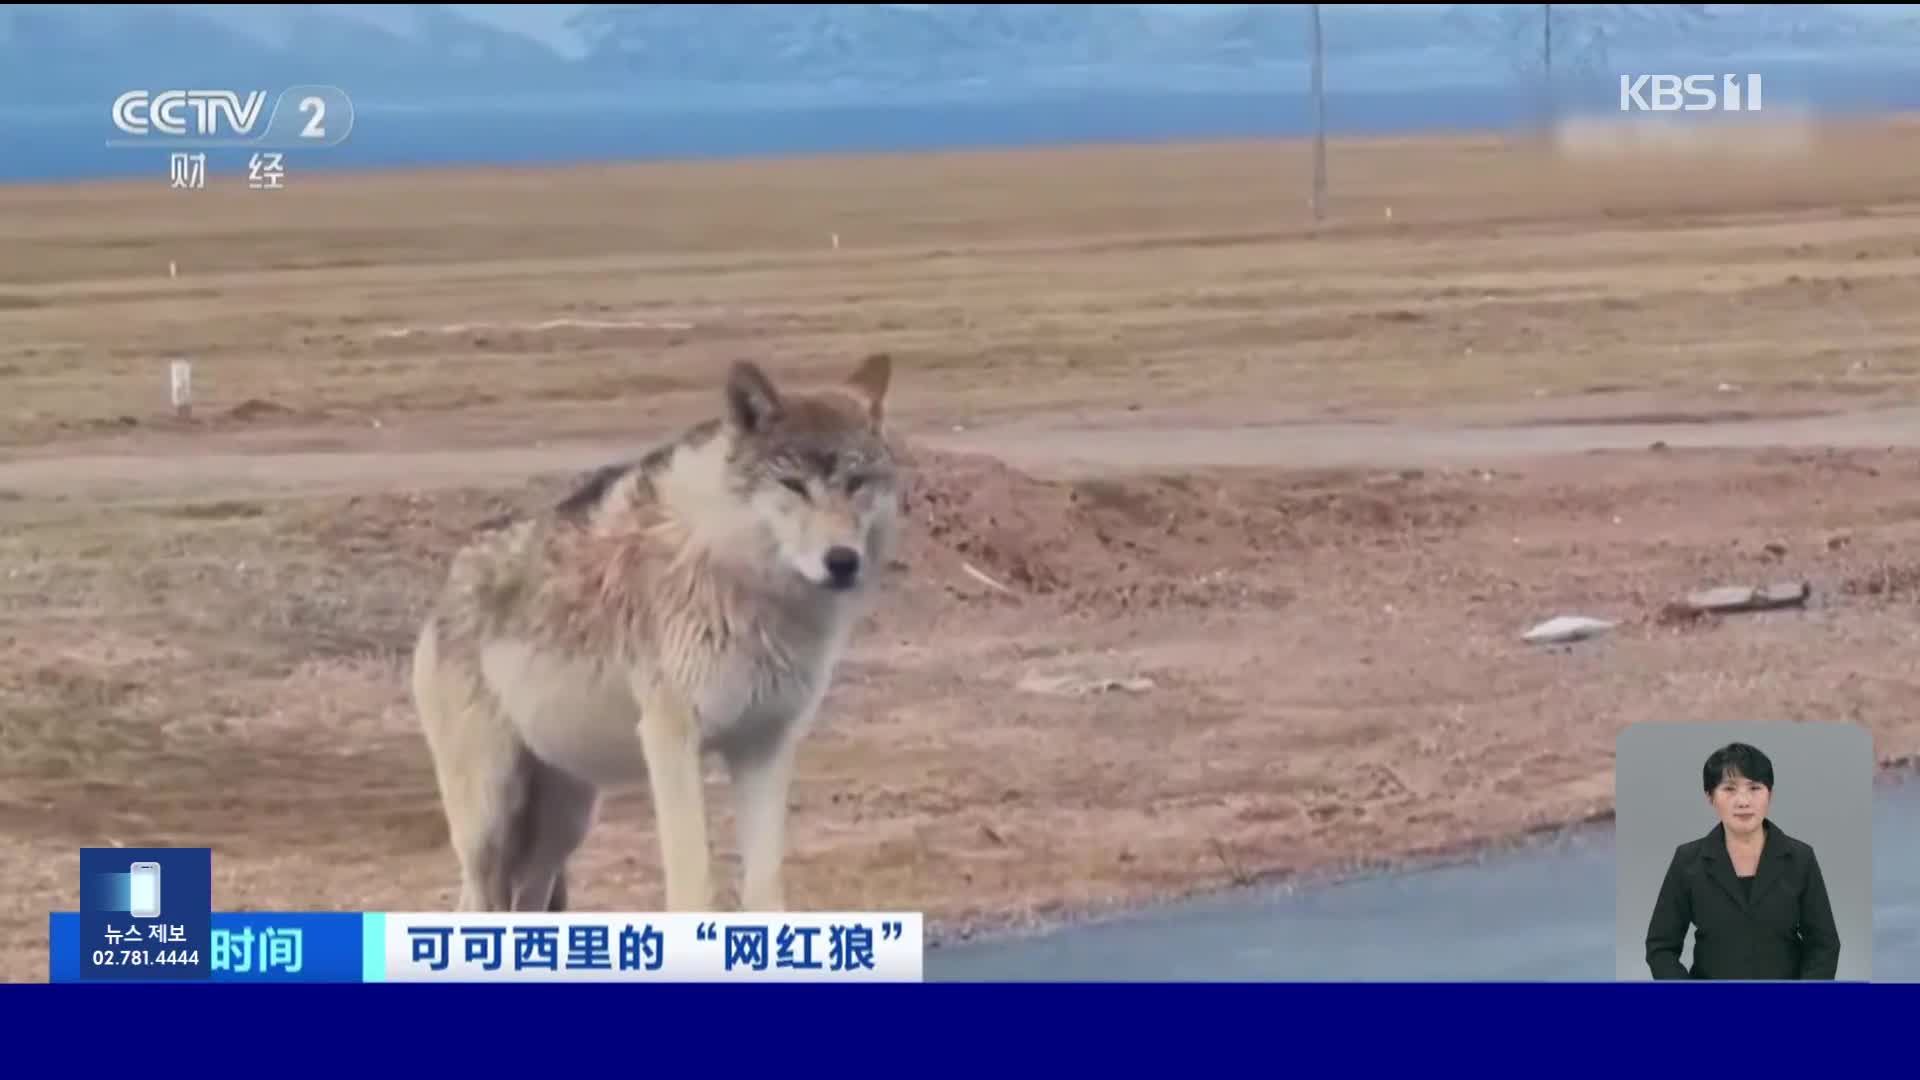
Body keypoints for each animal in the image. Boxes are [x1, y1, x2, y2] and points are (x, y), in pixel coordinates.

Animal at [408, 353, 902, 907]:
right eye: (793, 485)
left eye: (857, 482)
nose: (842, 561)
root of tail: (446, 586)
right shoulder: (671, 739)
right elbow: (693, 882)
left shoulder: (765, 746)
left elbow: (765, 885)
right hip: (490, 822)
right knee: (474, 900)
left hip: (565, 822)